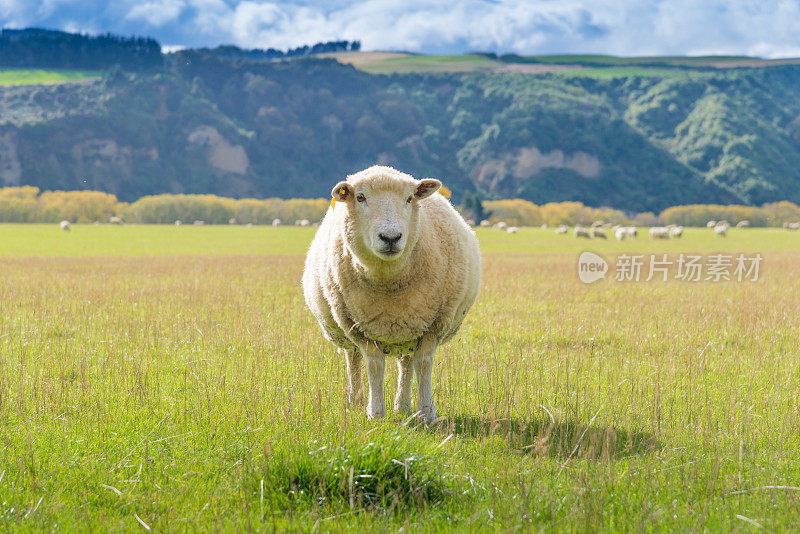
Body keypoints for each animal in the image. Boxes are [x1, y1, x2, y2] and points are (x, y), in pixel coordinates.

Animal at [302, 165, 482, 426]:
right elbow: (374, 366)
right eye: (360, 197)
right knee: (353, 361)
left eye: (409, 198)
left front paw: (427, 413)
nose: (390, 238)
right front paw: (375, 413)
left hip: (408, 330)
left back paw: (403, 406)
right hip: (349, 329)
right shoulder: (359, 328)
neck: (388, 281)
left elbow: (423, 364)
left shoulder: (434, 324)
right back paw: (355, 402)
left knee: (406, 363)